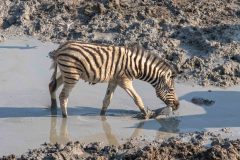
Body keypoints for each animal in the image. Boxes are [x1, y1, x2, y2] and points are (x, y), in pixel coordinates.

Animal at [48, 41, 179, 119]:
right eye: (171, 90)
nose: (177, 106)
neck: (136, 65)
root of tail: (61, 47)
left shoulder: (114, 80)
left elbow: (107, 100)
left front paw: (102, 116)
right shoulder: (125, 81)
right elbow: (137, 98)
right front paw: (147, 115)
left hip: (66, 73)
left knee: (52, 85)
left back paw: (53, 108)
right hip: (72, 75)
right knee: (63, 96)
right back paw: (65, 118)